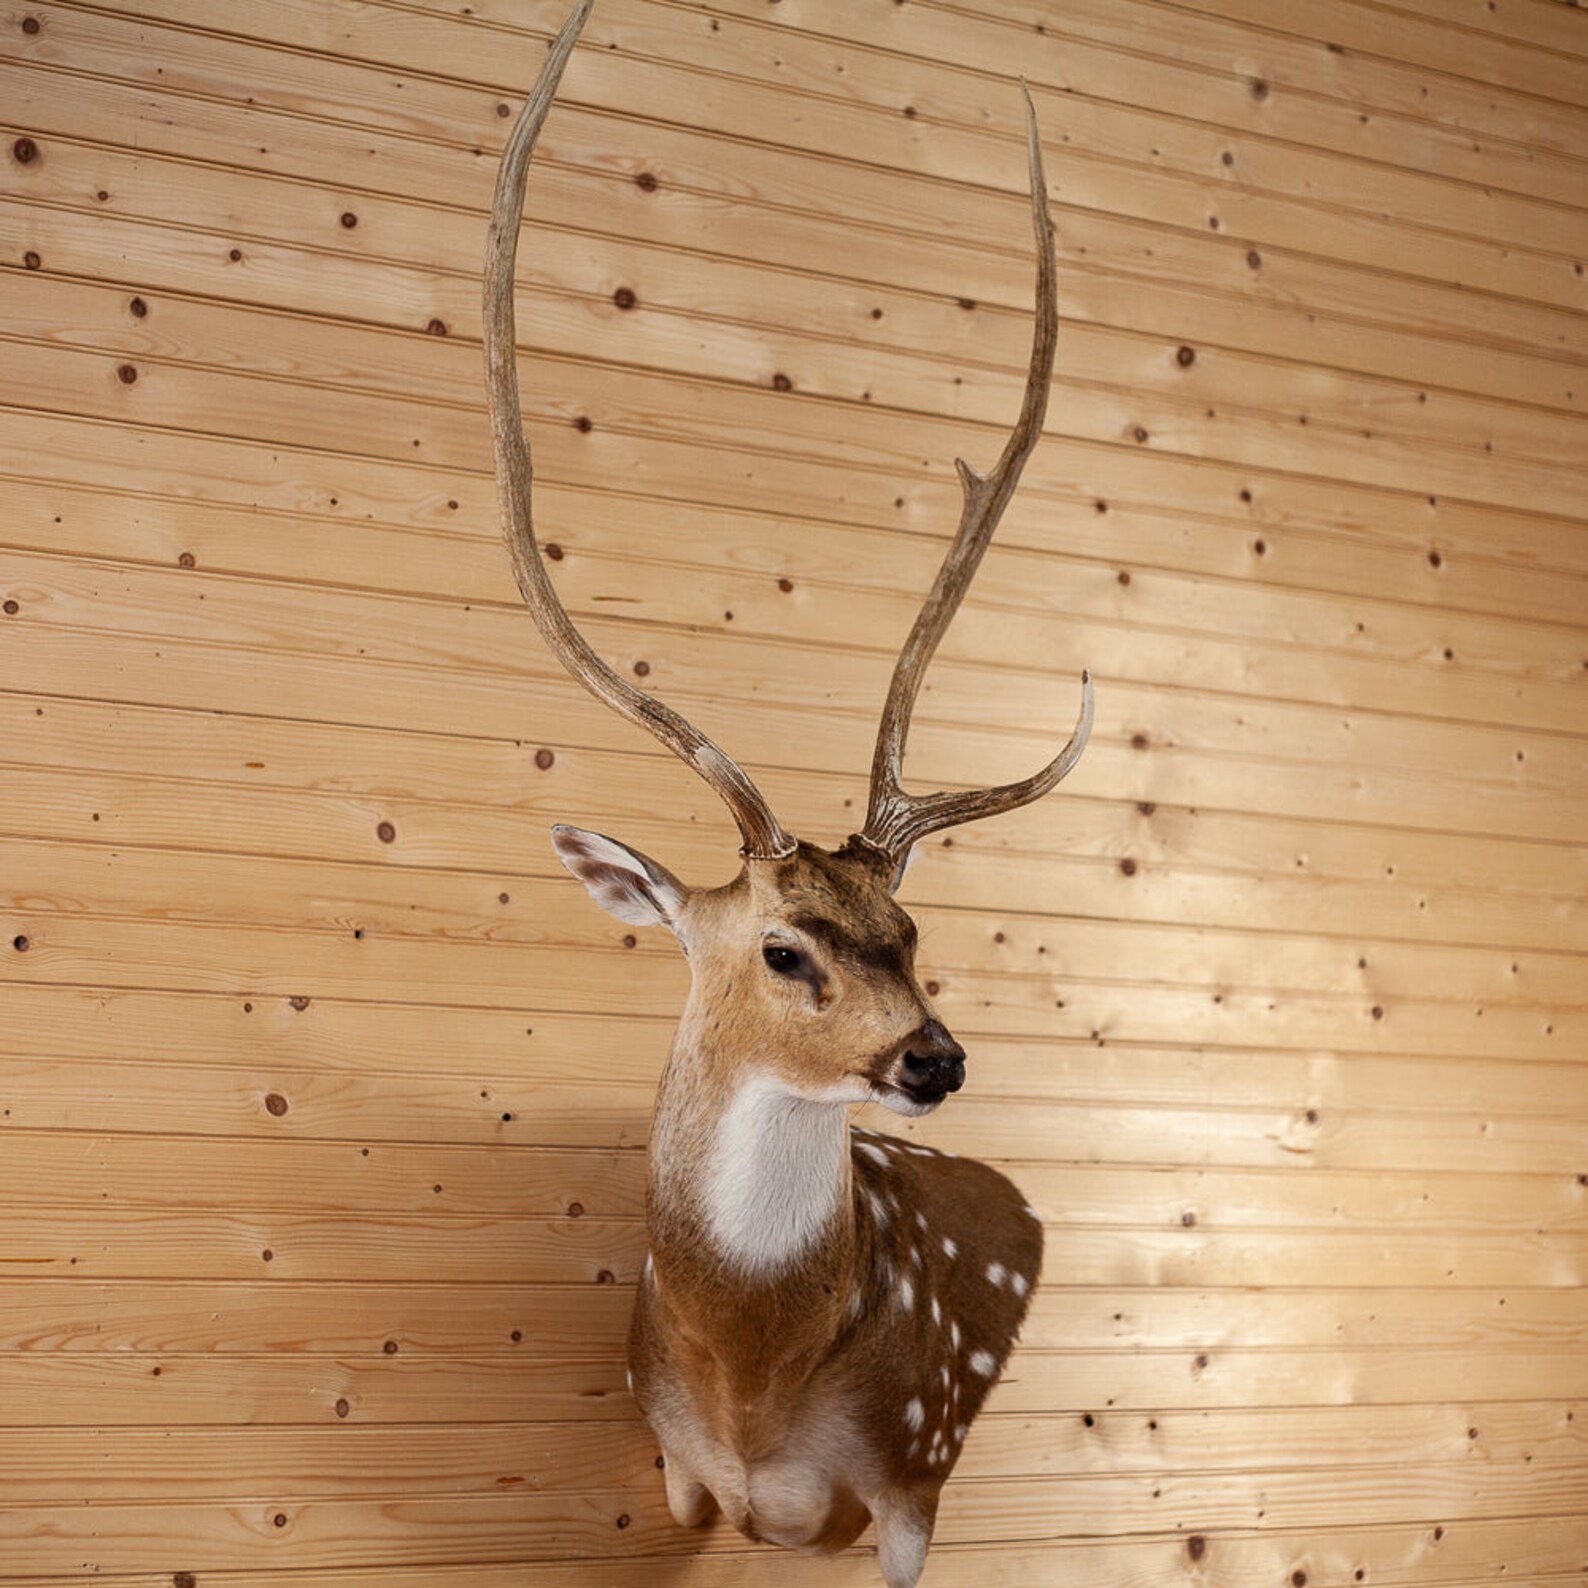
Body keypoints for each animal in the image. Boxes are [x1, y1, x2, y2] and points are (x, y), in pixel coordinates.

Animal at [483, 4, 1092, 1583]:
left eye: (917, 934)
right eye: (781, 947)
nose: (932, 1057)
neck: (753, 1383)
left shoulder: (911, 1477)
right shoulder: (677, 1476)